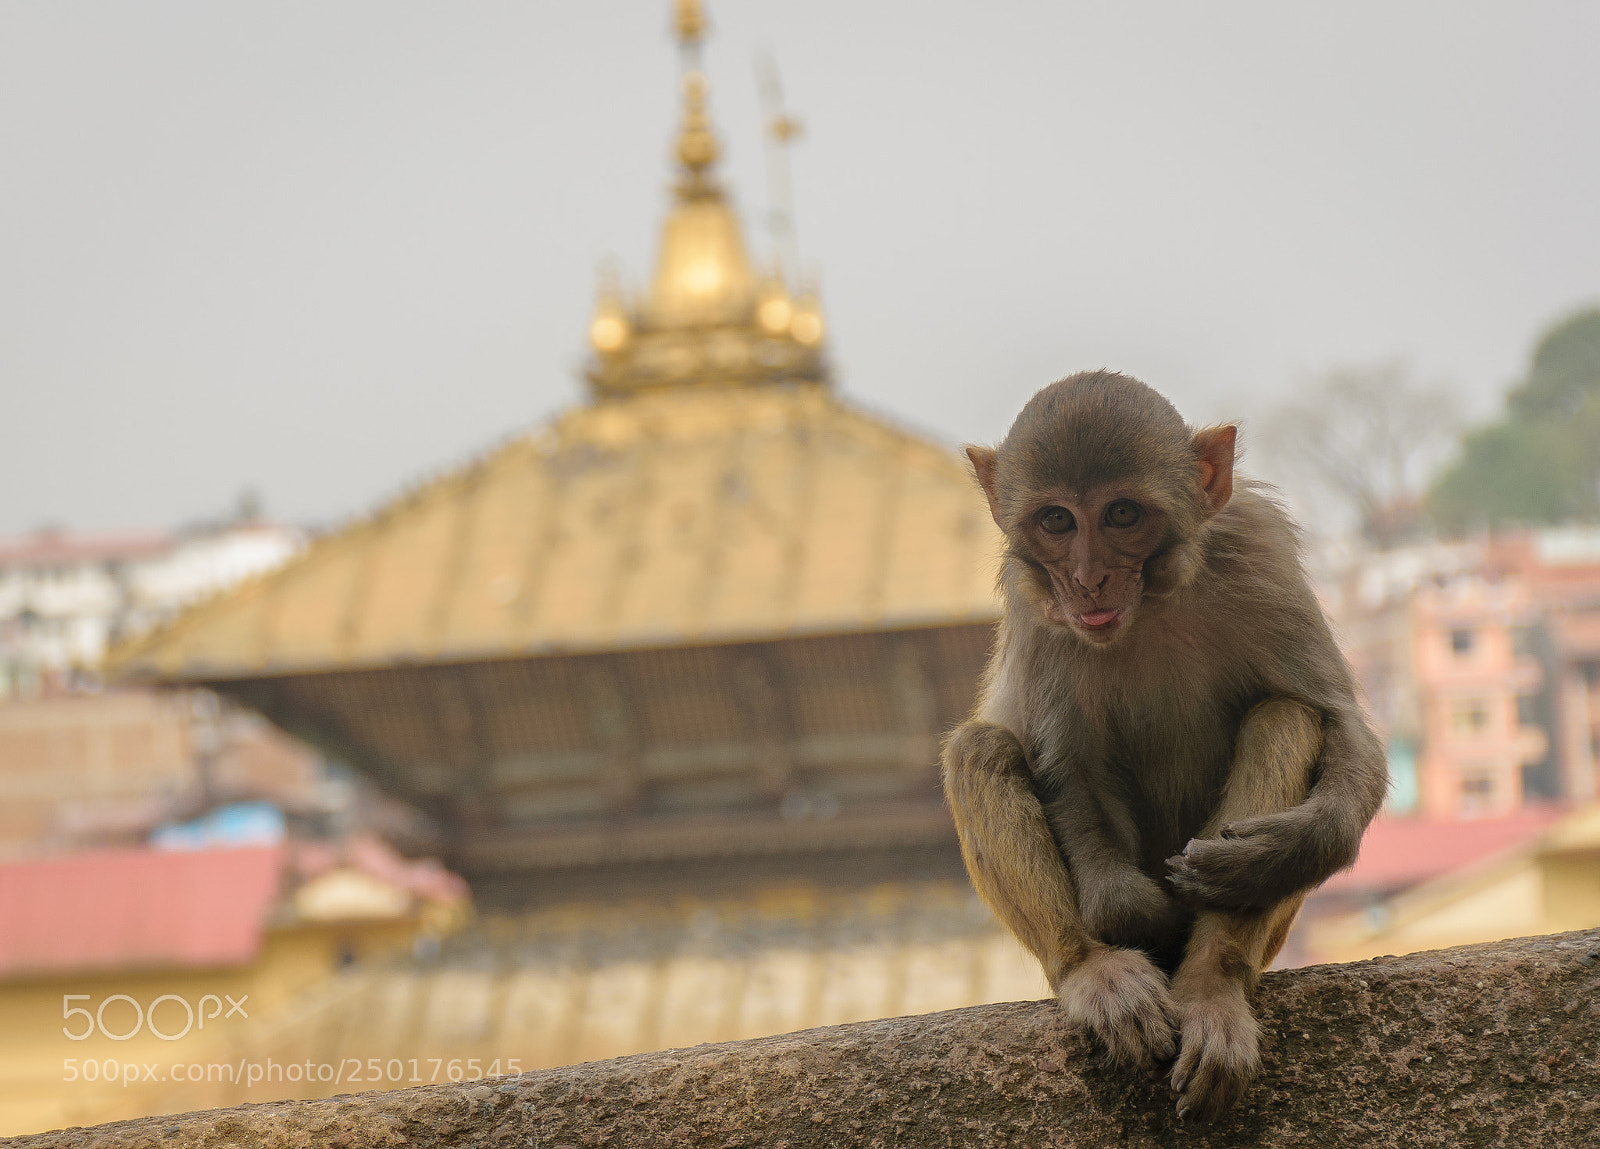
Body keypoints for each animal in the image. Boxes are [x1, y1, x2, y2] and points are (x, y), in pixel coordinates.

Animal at [942, 370, 1386, 1121]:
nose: (1088, 578)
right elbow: (1070, 767)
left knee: (1287, 716)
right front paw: (1136, 914)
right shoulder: (1038, 603)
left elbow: (1340, 720)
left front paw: (1282, 853)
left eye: (1122, 513)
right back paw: (1096, 969)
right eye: (1057, 521)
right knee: (978, 749)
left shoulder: (1257, 550)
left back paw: (1211, 983)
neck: (1151, 600)